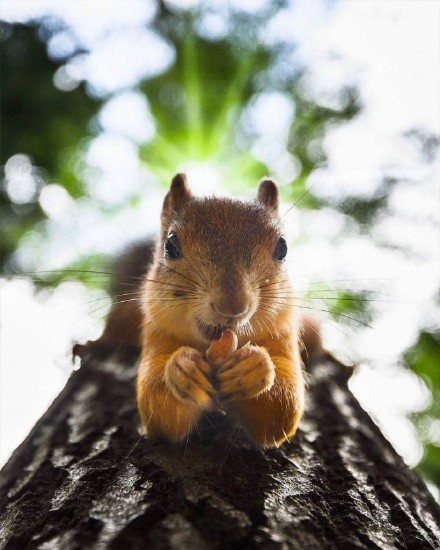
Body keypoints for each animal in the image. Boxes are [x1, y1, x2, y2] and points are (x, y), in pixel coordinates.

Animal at [81, 175, 324, 450]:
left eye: (282, 247)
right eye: (170, 245)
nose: (232, 306)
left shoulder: (282, 331)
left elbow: (283, 409)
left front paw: (253, 367)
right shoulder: (157, 329)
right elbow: (157, 407)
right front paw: (184, 369)